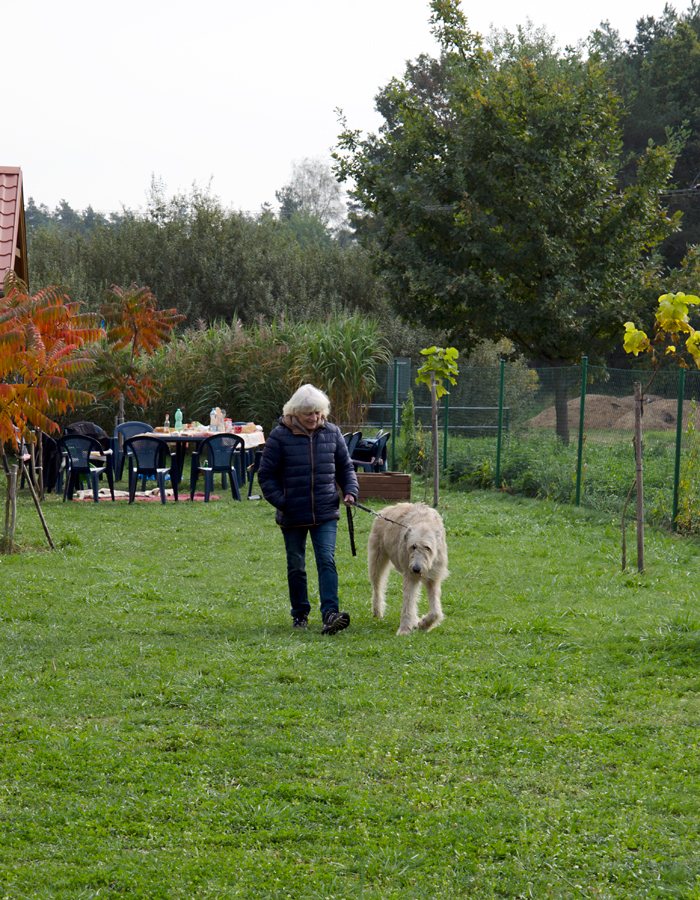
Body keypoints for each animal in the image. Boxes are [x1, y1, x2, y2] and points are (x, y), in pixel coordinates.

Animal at [366, 502, 448, 636]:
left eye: (427, 548)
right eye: (413, 546)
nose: (416, 569)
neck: (424, 522)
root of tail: (383, 511)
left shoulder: (433, 576)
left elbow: (435, 611)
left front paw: (424, 624)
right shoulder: (410, 575)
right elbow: (408, 601)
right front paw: (404, 629)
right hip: (376, 559)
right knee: (378, 586)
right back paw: (377, 612)